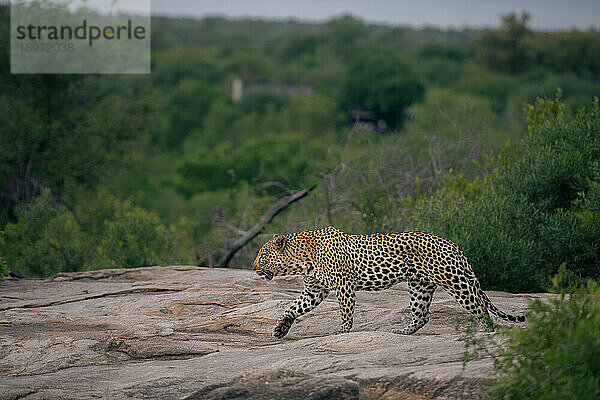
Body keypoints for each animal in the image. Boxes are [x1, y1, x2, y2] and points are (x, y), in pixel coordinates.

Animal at [251, 225, 524, 338]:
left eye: (262, 255)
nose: (253, 267)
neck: (303, 259)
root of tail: (451, 243)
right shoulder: (314, 291)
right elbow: (292, 308)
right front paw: (280, 328)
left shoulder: (343, 284)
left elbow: (346, 311)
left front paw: (342, 331)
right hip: (419, 286)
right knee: (422, 315)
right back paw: (402, 331)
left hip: (453, 280)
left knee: (479, 305)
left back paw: (486, 330)